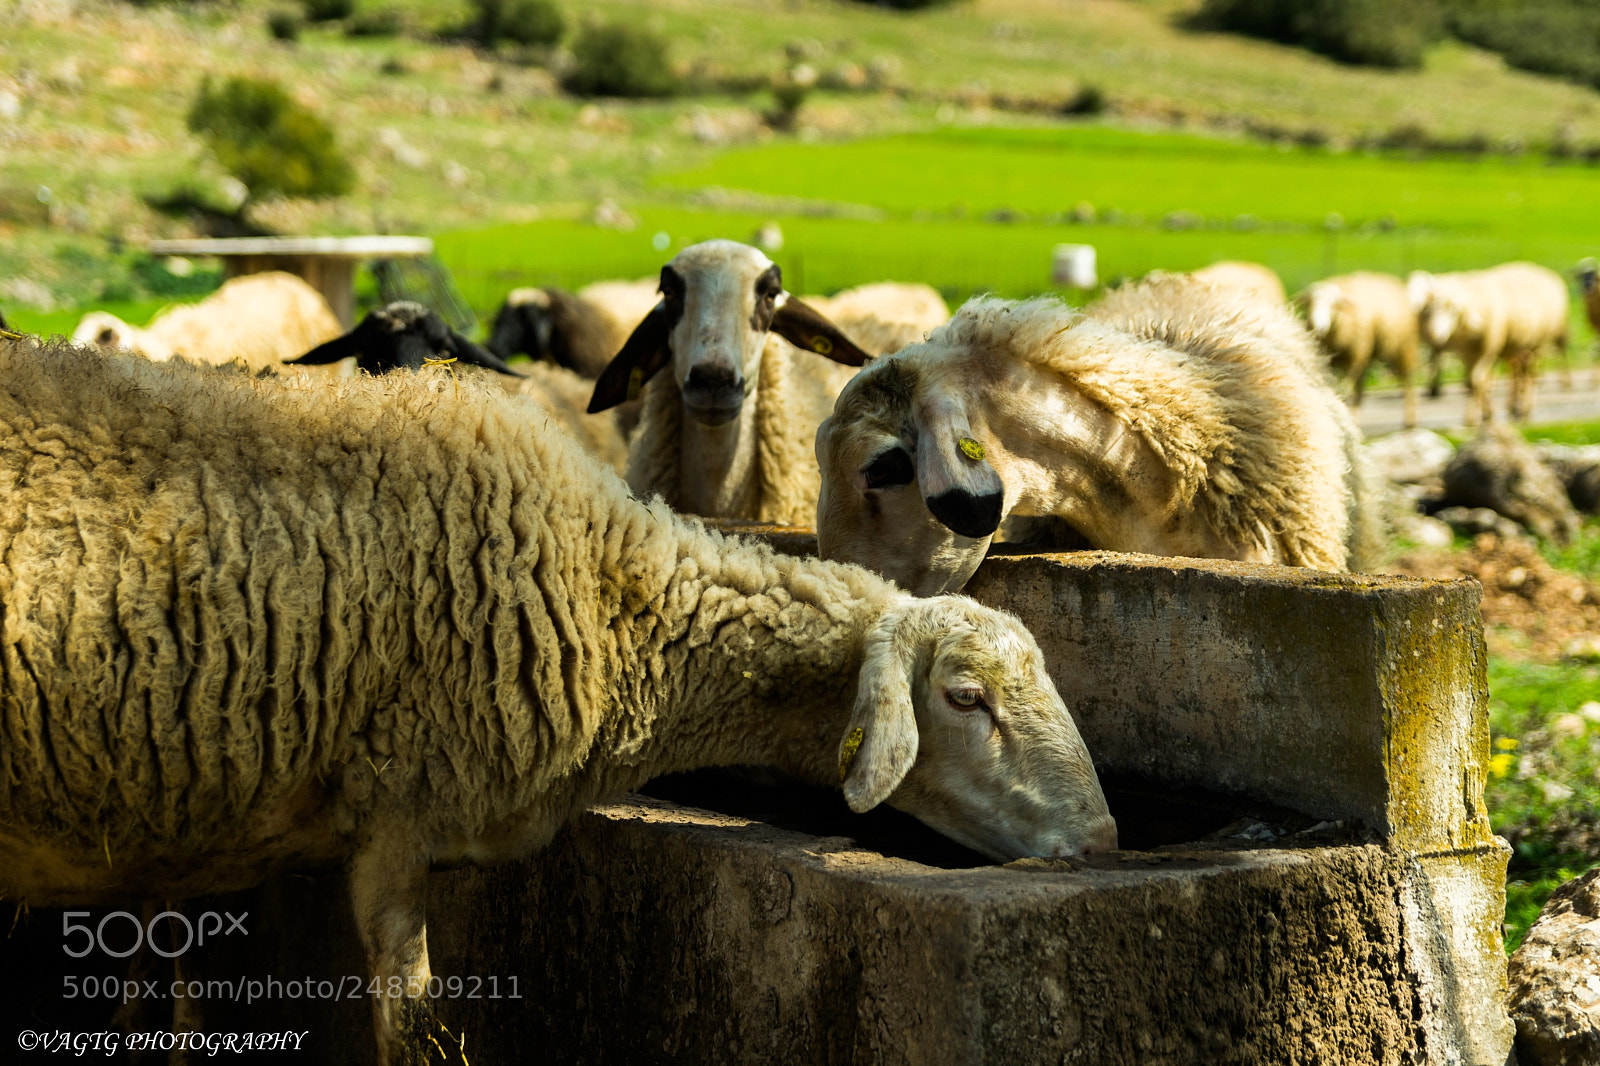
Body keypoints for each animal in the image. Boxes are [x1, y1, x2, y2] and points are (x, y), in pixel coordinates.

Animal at [1302, 271, 1422, 429]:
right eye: (1310, 303)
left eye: (1333, 304)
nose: (1317, 326)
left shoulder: (1355, 357)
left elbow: (1344, 389)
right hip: (1369, 355)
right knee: (1360, 389)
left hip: (1402, 348)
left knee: (1408, 383)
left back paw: (1410, 422)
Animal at [1409, 262, 1570, 424]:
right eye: (1429, 311)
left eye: (1454, 312)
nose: (1435, 335)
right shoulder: (1467, 353)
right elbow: (1474, 382)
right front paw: (1483, 414)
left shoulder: (1488, 349)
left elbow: (1479, 381)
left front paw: (1472, 418)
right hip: (1520, 348)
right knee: (1519, 374)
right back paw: (1515, 408)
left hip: (1539, 344)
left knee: (1530, 375)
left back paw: (1526, 409)